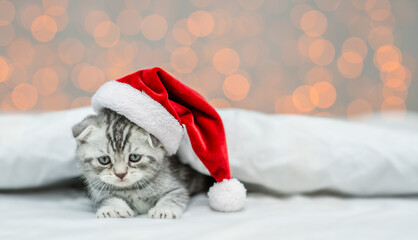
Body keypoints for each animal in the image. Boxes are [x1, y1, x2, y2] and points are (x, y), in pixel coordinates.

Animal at [71, 109, 212, 219]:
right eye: (104, 160)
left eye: (134, 157)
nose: (120, 174)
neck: (132, 188)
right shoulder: (98, 192)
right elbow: (108, 198)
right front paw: (114, 208)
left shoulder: (176, 186)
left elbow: (174, 196)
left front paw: (163, 209)